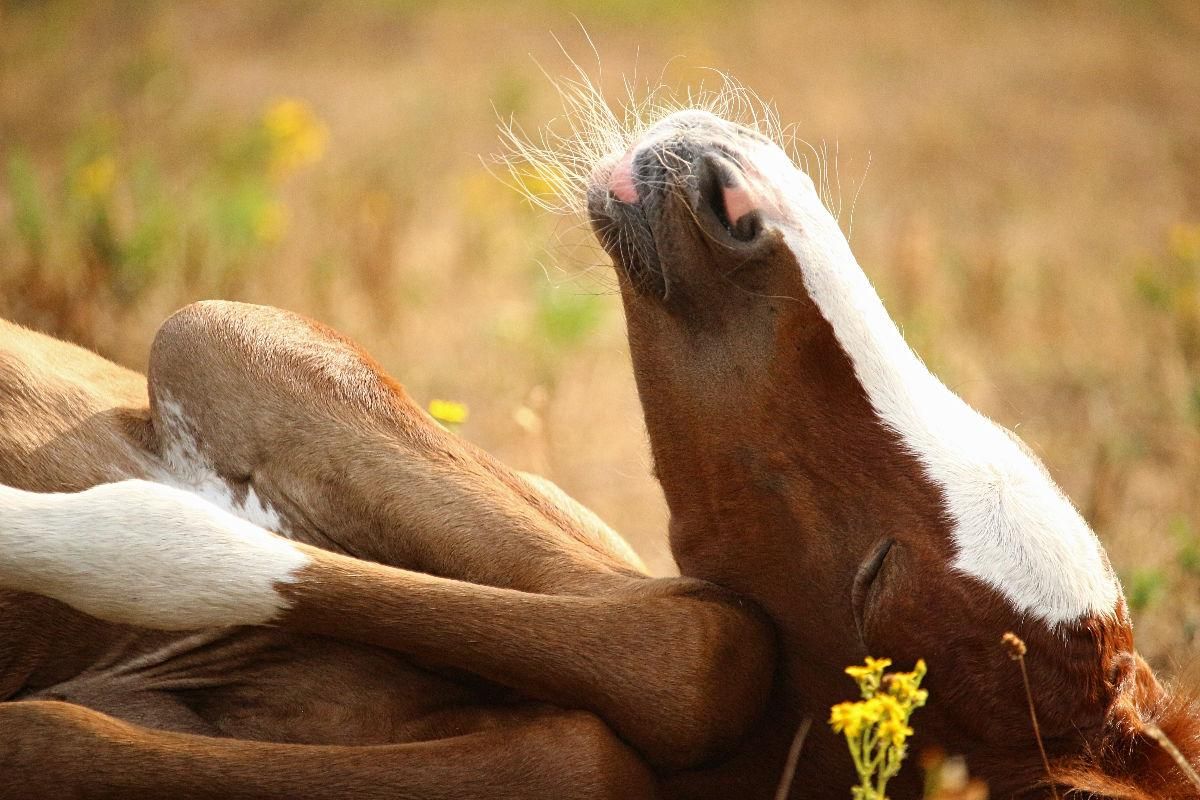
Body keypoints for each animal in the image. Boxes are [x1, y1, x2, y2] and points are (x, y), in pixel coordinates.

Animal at [0, 107, 1195, 800]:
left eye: (876, 580)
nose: (732, 193)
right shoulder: (249, 344)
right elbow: (687, 649)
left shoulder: (219, 349)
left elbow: (680, 668)